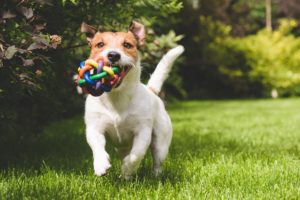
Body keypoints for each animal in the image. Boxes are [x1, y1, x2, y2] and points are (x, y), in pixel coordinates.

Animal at [80, 21, 183, 178]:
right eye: (100, 44)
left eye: (127, 45)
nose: (113, 55)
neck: (116, 96)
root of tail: (151, 90)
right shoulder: (94, 127)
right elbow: (97, 146)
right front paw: (100, 164)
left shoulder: (143, 131)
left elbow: (137, 154)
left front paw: (128, 167)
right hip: (121, 147)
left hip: (161, 141)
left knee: (157, 160)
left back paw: (151, 175)